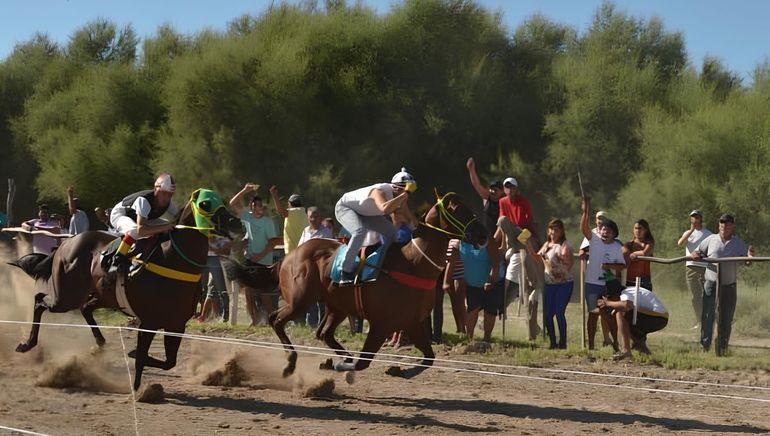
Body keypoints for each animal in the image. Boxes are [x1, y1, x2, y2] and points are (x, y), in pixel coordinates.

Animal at [8, 189, 239, 390]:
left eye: (223, 202)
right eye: (205, 204)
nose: (236, 223)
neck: (173, 261)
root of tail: (66, 243)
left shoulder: (176, 323)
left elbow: (169, 362)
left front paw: (134, 357)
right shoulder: (149, 322)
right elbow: (143, 357)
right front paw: (138, 387)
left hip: (103, 296)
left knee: (85, 308)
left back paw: (99, 345)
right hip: (67, 296)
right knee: (40, 300)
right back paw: (27, 344)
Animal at [270, 191, 487, 377]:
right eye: (456, 209)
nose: (482, 234)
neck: (413, 264)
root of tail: (289, 255)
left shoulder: (413, 323)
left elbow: (429, 358)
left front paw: (398, 370)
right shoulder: (381, 323)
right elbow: (363, 362)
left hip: (337, 307)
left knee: (323, 333)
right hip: (301, 301)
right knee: (276, 320)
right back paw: (291, 360)